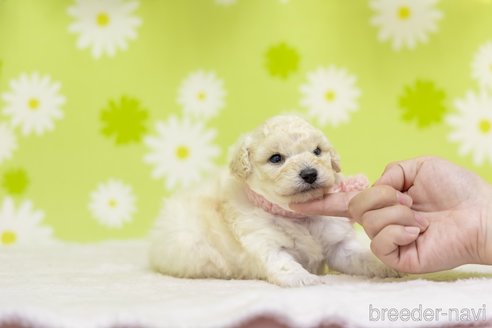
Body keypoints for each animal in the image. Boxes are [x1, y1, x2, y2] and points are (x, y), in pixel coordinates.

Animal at [149, 115, 396, 288]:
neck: (297, 216)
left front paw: (383, 264)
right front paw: (302, 278)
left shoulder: (338, 245)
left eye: (317, 151)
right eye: (276, 158)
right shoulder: (264, 241)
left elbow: (358, 256)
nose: (309, 174)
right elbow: (283, 263)